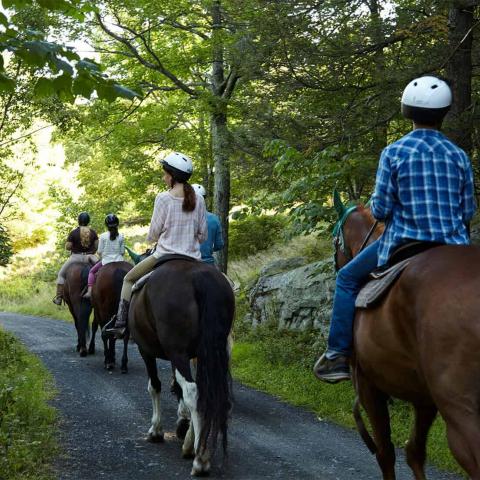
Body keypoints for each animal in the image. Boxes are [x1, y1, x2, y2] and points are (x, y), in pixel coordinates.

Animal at [129, 258, 234, 476]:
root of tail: (200, 277)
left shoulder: (146, 350)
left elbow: (155, 386)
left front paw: (156, 430)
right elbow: (178, 388)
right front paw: (184, 427)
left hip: (177, 352)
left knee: (192, 391)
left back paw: (200, 459)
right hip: (212, 351)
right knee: (204, 393)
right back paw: (195, 447)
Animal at [336, 202, 480, 480]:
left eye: (334, 238)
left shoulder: (369, 386)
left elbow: (385, 452)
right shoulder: (424, 398)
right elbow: (414, 451)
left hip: (461, 410)